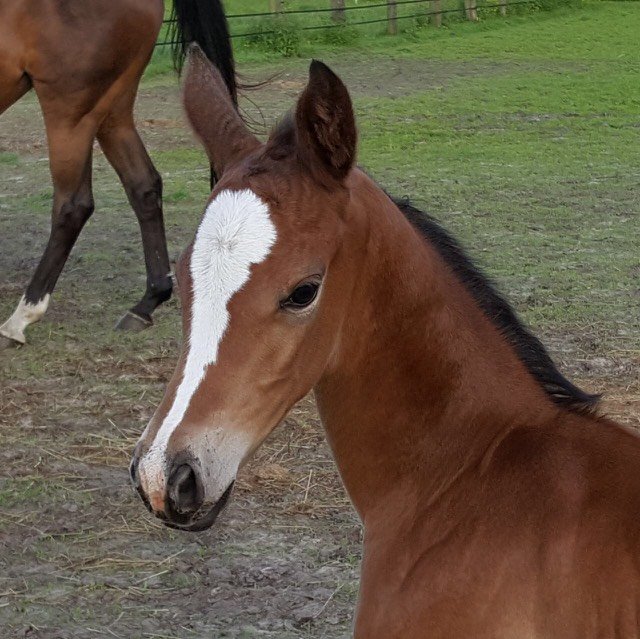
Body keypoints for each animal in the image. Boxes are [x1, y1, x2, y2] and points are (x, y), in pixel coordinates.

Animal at [1, 0, 236, 350]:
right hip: (112, 111)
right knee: (143, 185)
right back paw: (147, 302)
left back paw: (21, 317)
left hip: (71, 110)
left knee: (73, 205)